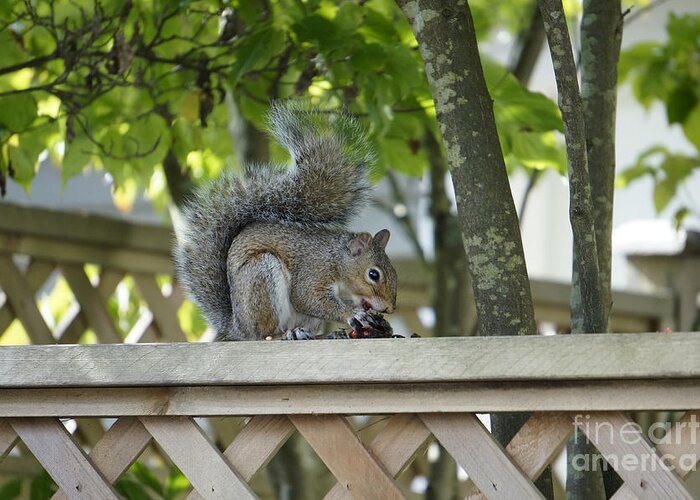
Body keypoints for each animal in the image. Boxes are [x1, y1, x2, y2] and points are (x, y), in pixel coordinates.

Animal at [173, 103, 396, 342]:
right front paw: (353, 314)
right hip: (261, 277)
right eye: (373, 274)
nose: (390, 308)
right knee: (265, 334)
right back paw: (286, 333)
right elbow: (307, 297)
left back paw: (323, 334)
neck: (337, 260)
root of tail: (239, 327)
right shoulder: (314, 270)